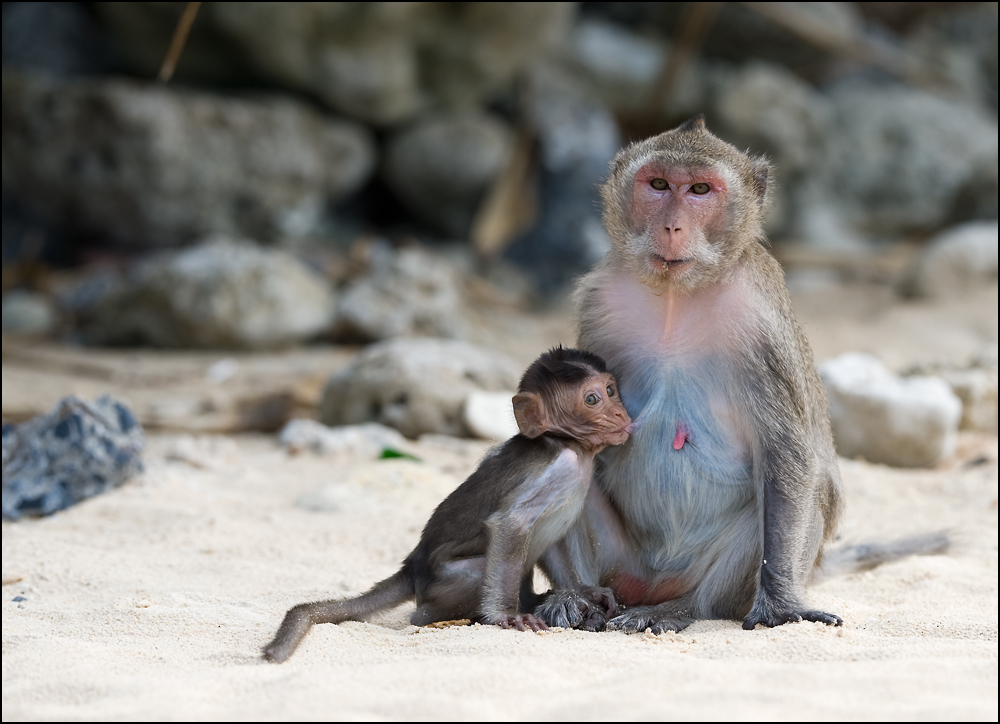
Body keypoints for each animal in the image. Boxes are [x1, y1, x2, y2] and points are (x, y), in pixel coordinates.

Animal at [262, 348, 628, 664]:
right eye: (592, 399)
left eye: (611, 390)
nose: (621, 413)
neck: (570, 445)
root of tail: (413, 566)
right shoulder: (555, 469)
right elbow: (510, 523)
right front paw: (506, 616)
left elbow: (552, 540)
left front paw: (583, 592)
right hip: (443, 582)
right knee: (451, 591)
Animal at [536, 117, 848, 632]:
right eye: (660, 185)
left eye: (700, 189)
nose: (672, 225)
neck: (674, 297)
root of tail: (650, 584)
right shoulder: (599, 300)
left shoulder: (760, 323)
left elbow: (786, 456)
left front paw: (780, 606)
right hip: (619, 562)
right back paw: (576, 596)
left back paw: (682, 610)